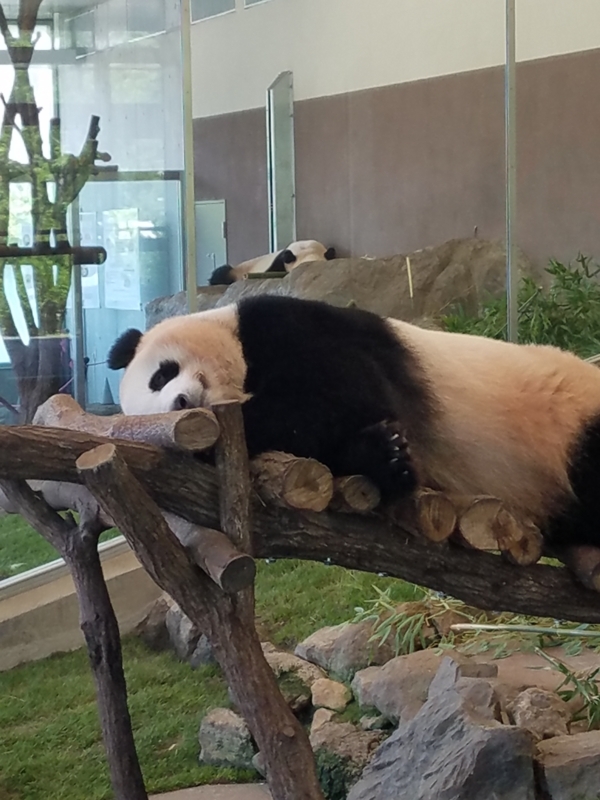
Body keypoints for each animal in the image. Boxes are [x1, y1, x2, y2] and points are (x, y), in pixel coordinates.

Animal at [108, 294, 600, 553]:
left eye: (161, 374)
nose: (181, 402)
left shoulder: (291, 326)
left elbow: (339, 394)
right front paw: (385, 456)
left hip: (573, 421)